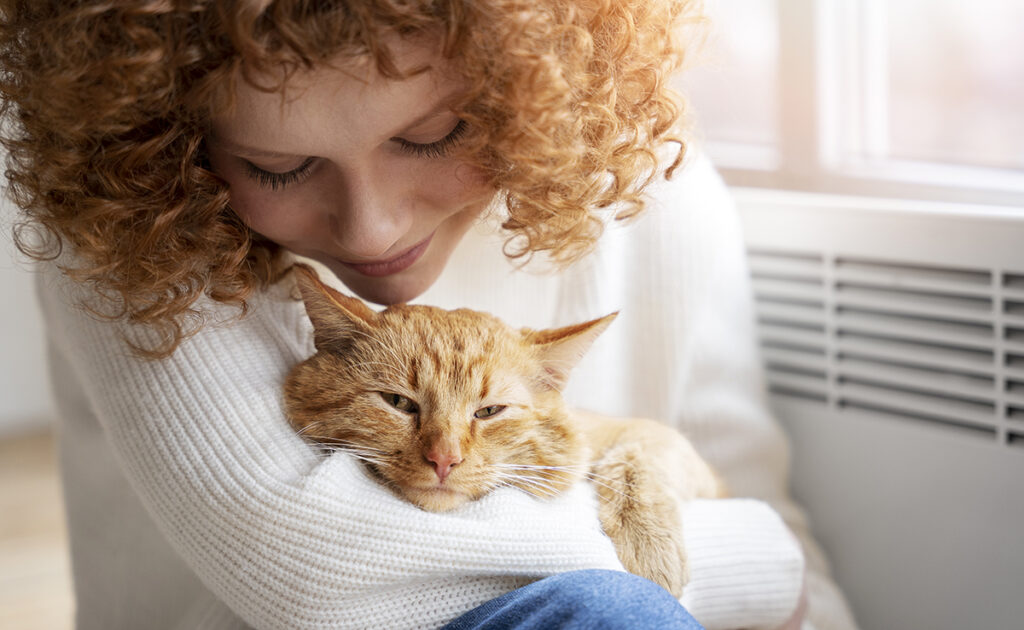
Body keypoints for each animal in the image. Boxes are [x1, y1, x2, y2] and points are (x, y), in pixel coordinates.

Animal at [284, 264, 724, 598]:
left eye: (488, 412)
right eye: (400, 403)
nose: (444, 459)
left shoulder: (669, 448)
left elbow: (640, 459)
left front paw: (649, 543)